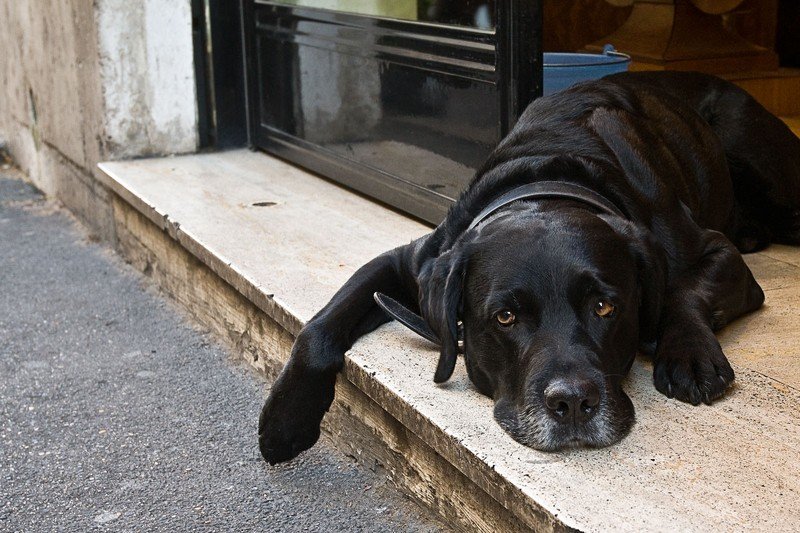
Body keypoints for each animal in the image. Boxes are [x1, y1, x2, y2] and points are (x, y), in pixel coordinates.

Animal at [260, 70, 796, 462]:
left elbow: (684, 291)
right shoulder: (408, 261)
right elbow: (320, 326)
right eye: (505, 317)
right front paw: (285, 420)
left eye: (604, 307)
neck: (552, 171)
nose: (573, 403)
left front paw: (688, 353)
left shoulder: (715, 253)